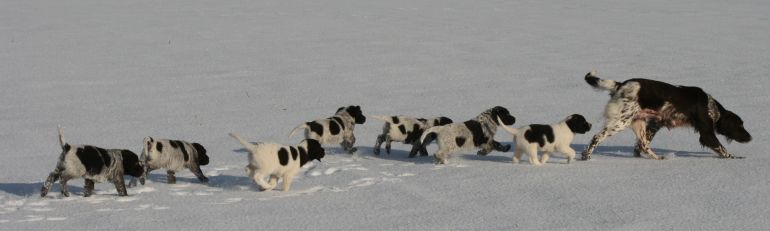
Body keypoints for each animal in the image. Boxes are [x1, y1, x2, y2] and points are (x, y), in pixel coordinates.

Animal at [584, 71, 752, 160]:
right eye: (740, 125)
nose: (750, 138)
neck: (710, 106)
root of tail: (620, 85)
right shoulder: (706, 133)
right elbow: (722, 149)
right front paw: (735, 159)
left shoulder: (655, 124)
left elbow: (640, 146)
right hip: (621, 121)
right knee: (597, 137)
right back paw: (586, 156)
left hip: (638, 122)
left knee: (644, 145)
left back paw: (658, 158)